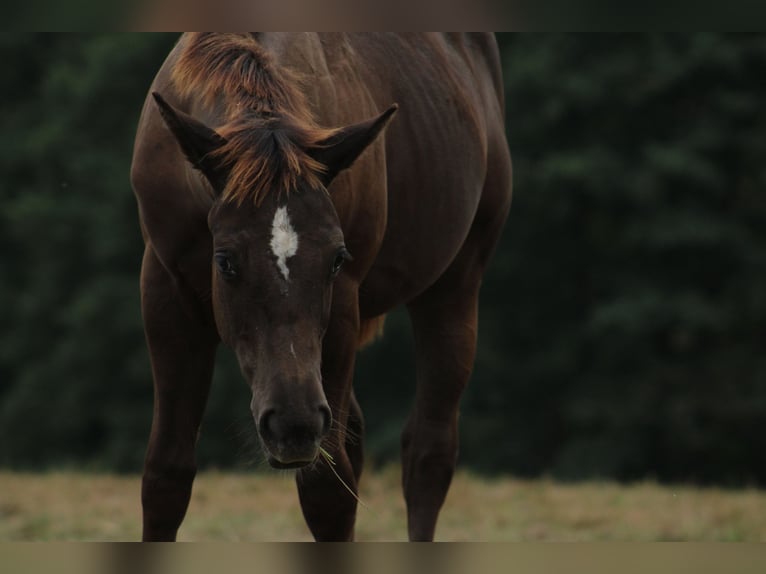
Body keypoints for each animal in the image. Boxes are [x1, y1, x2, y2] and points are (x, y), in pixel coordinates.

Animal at [131, 32, 512, 544]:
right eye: (224, 261)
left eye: (336, 259)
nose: (292, 424)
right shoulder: (165, 293)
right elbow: (166, 476)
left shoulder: (344, 309)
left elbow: (328, 491)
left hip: (455, 283)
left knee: (428, 453)